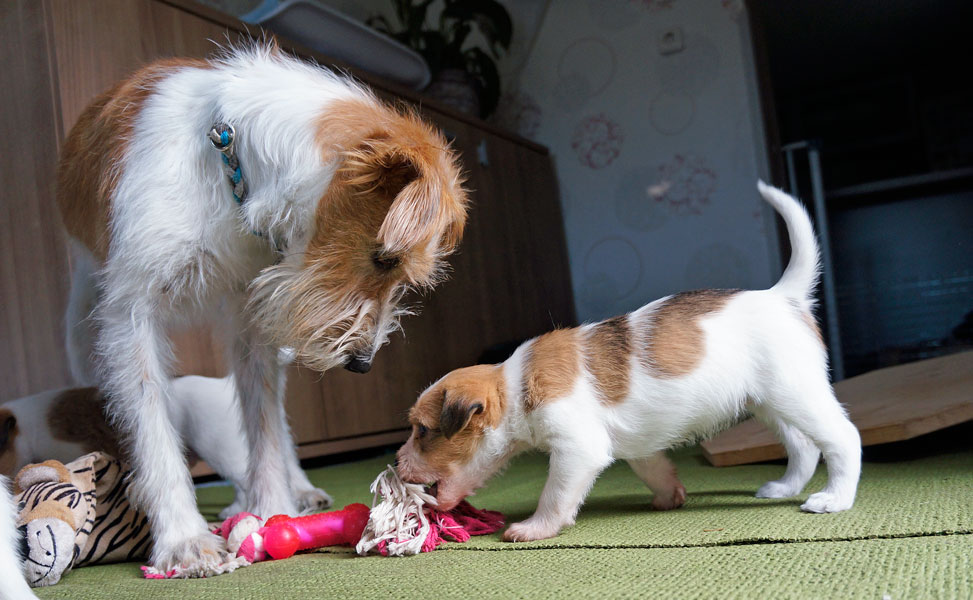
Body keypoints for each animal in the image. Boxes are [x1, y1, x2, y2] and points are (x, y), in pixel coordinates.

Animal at [55, 42, 468, 574]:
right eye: (385, 258)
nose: (361, 364)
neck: (232, 163)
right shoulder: (131, 314)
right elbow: (152, 427)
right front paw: (184, 538)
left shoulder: (255, 317)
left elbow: (266, 427)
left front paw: (273, 512)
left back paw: (293, 491)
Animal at [396, 182, 861, 543]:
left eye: (423, 431)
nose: (398, 465)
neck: (516, 384)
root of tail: (783, 296)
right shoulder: (636, 445)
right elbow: (654, 467)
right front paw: (669, 496)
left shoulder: (576, 449)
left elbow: (555, 494)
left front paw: (533, 527)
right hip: (769, 404)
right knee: (803, 447)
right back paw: (782, 488)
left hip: (797, 395)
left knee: (843, 438)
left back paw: (834, 499)